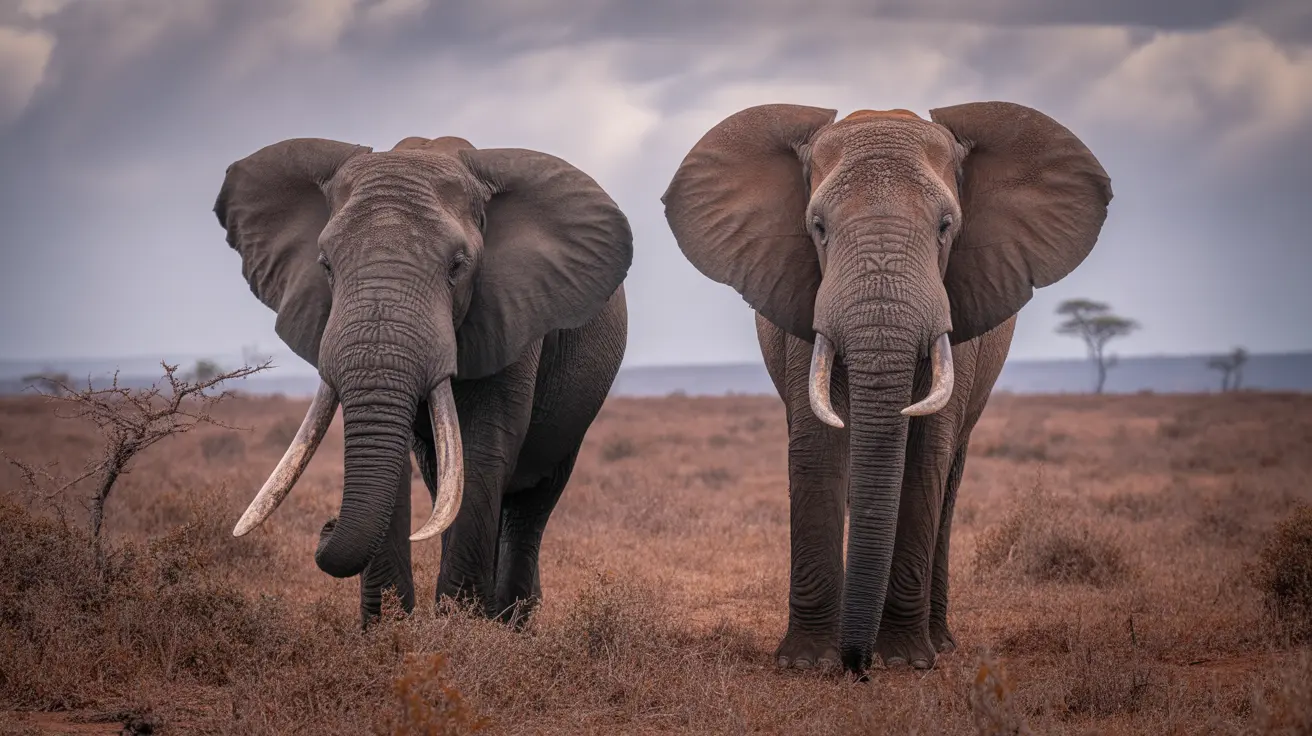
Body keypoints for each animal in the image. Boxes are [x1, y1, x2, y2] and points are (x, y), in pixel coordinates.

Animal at [214, 134, 633, 626]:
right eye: (326, 265)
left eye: (457, 267)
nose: (327, 525)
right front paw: (389, 633)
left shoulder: (514, 308)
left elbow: (484, 446)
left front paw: (461, 632)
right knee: (443, 481)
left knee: (530, 502)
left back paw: (511, 623)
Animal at [663, 103, 1111, 673]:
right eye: (819, 228)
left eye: (946, 226)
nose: (857, 666)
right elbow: (817, 448)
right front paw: (808, 662)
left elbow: (924, 459)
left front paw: (904, 660)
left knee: (948, 480)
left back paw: (938, 641)